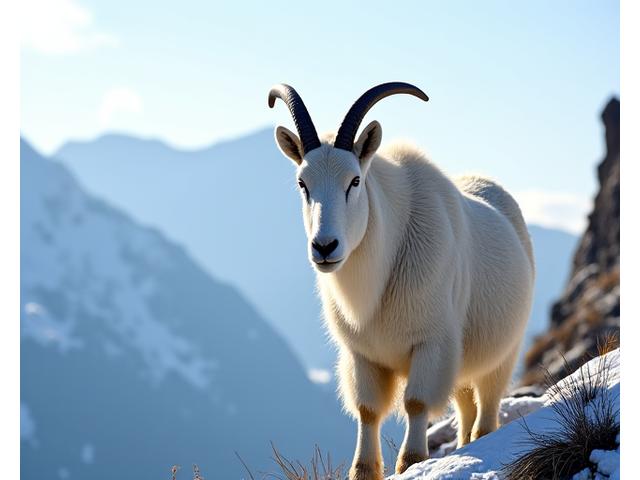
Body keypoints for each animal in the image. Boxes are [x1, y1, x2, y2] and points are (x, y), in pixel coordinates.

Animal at [269, 82, 535, 480]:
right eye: (303, 183)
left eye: (355, 180)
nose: (325, 247)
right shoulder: (362, 354)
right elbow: (367, 410)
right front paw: (364, 469)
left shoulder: (431, 343)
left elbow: (416, 402)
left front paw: (411, 461)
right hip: (461, 364)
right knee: (465, 410)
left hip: (502, 354)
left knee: (486, 410)